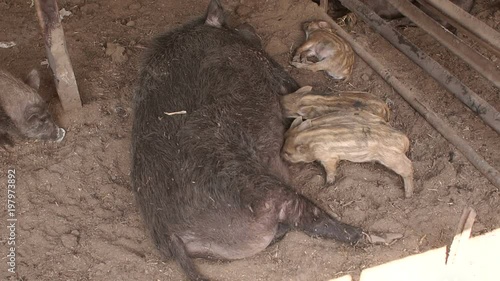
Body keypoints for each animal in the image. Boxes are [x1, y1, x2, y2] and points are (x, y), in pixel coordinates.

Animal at [131, 1, 370, 278]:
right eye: (233, 26)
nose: (248, 25)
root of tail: (171, 234)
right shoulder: (266, 64)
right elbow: (292, 85)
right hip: (265, 192)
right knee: (308, 217)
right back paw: (369, 235)